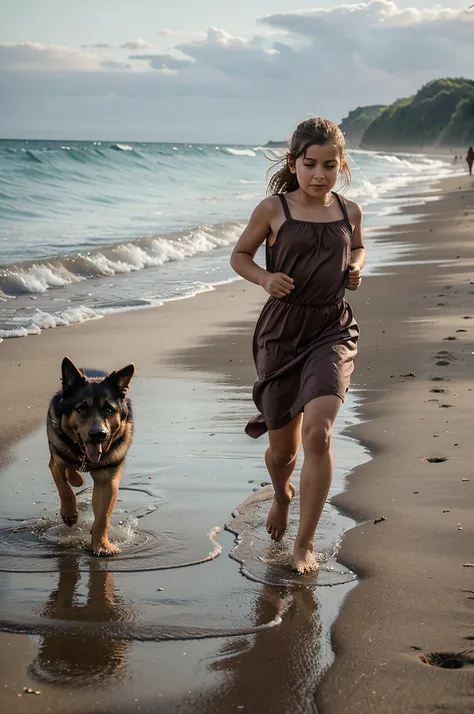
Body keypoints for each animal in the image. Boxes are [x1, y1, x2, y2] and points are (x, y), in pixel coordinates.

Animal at [46, 356, 133, 556]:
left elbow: (103, 516)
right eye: (82, 409)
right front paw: (70, 515)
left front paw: (102, 545)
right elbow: (64, 488)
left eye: (109, 410)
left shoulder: (108, 480)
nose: (99, 434)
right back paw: (77, 479)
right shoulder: (55, 463)